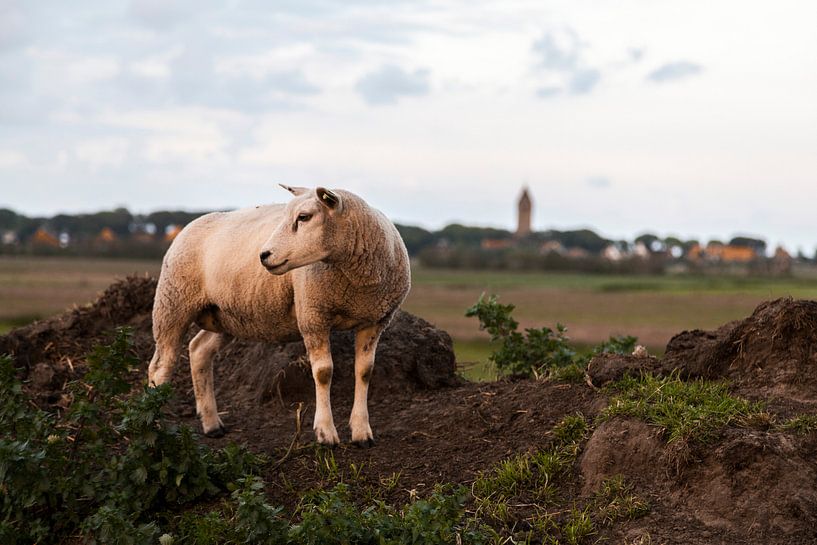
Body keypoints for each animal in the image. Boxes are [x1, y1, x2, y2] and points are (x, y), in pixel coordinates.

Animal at [147, 185, 412, 444]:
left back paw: (212, 424)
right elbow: (323, 373)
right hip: (173, 304)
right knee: (161, 366)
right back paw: (152, 426)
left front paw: (361, 432)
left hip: (226, 316)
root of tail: (188, 226)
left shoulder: (375, 321)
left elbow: (365, 372)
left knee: (199, 350)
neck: (355, 281)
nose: (263, 255)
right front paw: (325, 433)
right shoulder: (312, 317)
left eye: (304, 217)